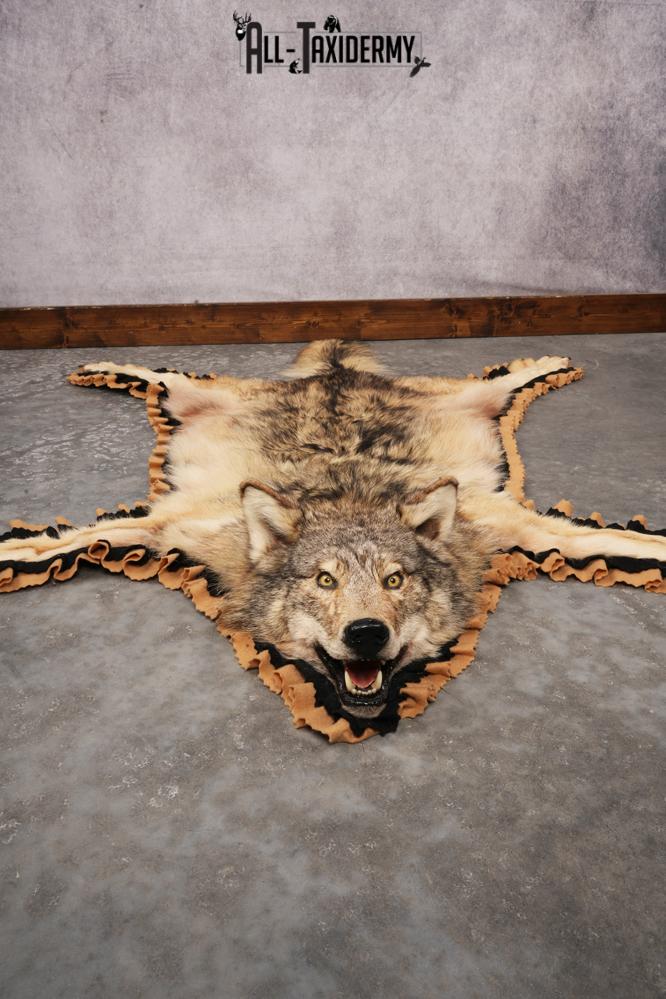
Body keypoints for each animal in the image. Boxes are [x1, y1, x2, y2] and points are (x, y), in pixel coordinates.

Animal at [1, 341, 664, 729]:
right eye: (324, 580)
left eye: (395, 581)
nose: (366, 633)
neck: (350, 500)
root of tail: (332, 375)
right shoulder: (171, 523)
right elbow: (58, 540)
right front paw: (17, 550)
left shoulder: (510, 523)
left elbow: (610, 542)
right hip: (198, 397)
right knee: (161, 371)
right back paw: (98, 364)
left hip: (474, 400)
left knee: (506, 375)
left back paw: (553, 362)